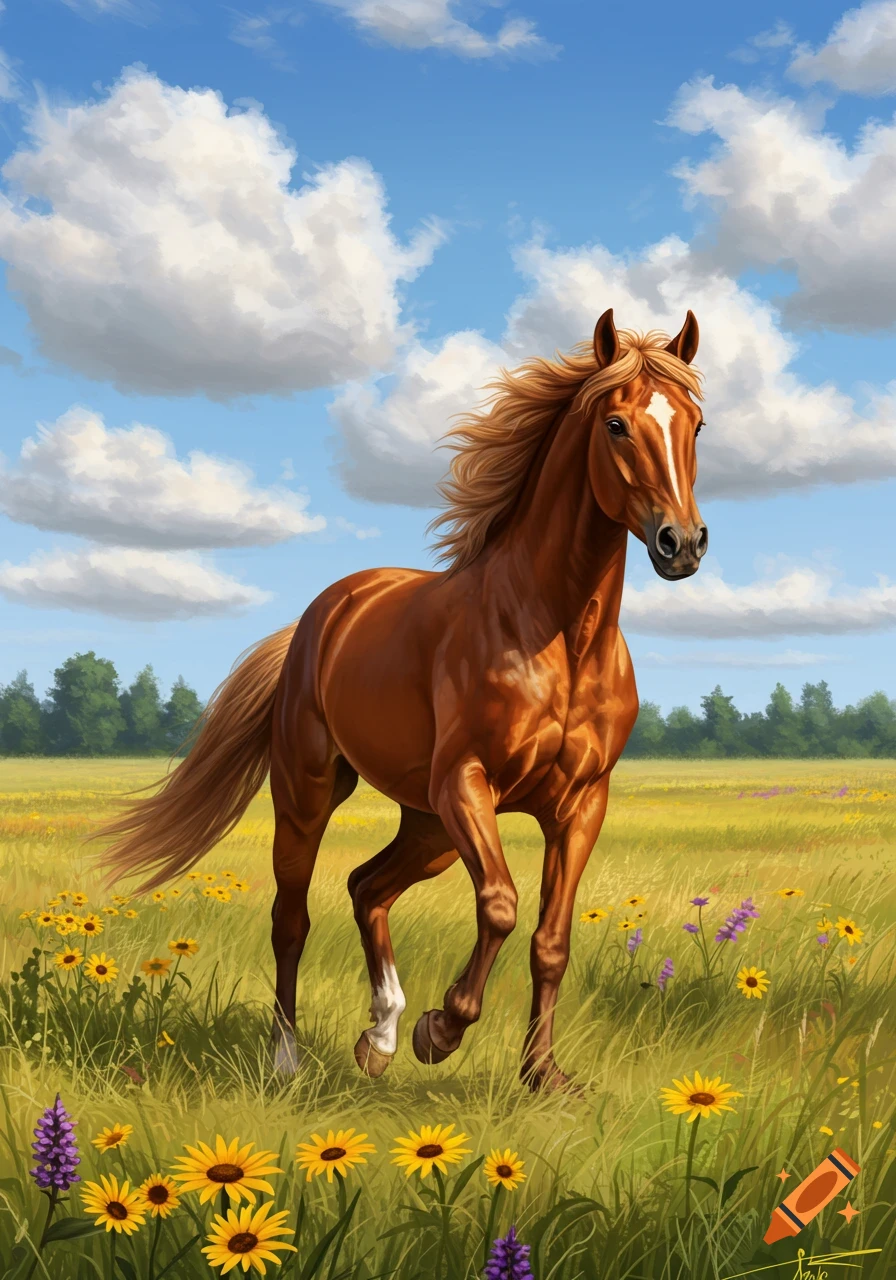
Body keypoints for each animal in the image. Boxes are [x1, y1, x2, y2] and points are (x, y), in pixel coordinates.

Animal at [93, 308, 707, 1092]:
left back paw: (377, 1037)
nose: (682, 543)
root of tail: (323, 614)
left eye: (697, 424)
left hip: (430, 828)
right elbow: (501, 906)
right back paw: (291, 1058)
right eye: (617, 424)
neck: (558, 636)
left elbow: (551, 939)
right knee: (293, 917)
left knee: (367, 886)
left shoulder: (580, 804)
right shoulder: (467, 783)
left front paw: (541, 1075)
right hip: (316, 794)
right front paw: (440, 1031)